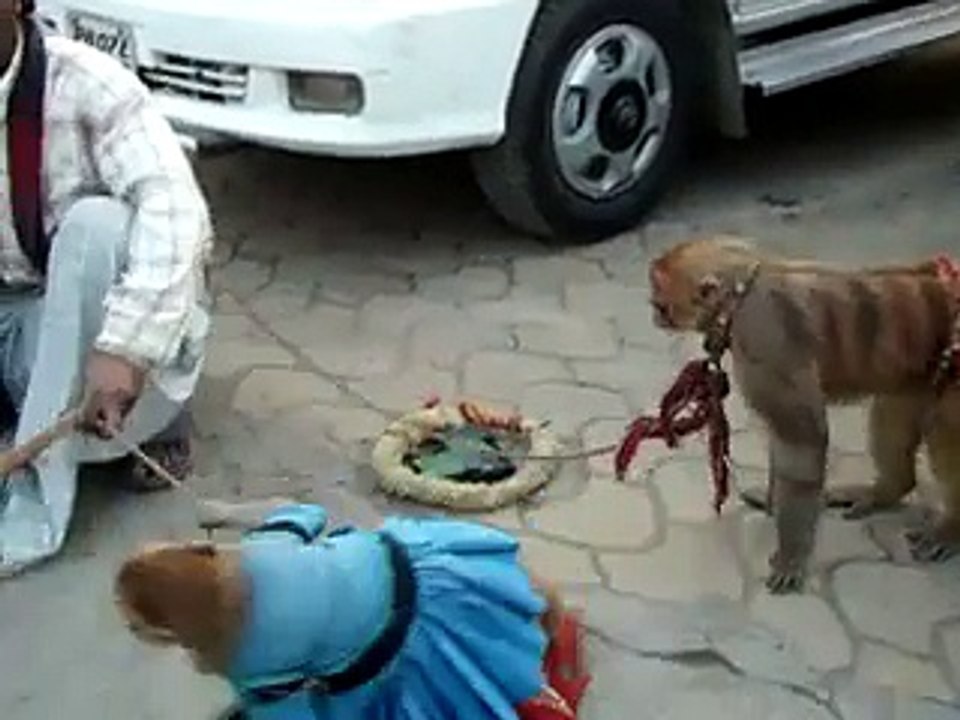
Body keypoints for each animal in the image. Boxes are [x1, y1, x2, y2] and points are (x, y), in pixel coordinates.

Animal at [647, 235, 960, 593]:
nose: (652, 307)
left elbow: (802, 437)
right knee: (891, 415)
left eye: (660, 297)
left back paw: (950, 527)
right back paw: (886, 491)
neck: (739, 295)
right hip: (917, 376)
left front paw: (791, 555)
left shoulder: (765, 339)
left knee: (945, 436)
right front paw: (772, 501)